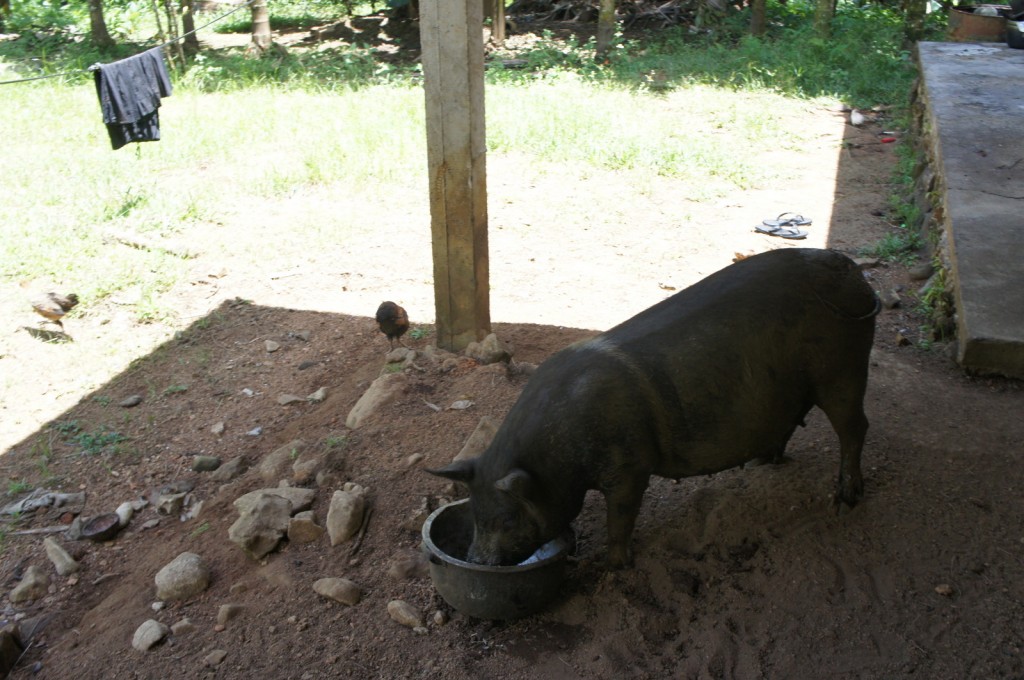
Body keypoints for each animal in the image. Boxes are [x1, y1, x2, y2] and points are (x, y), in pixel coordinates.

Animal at [430, 248, 881, 568]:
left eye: (507, 519)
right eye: (476, 515)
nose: (477, 561)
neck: (556, 456)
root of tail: (857, 275)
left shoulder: (629, 465)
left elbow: (621, 516)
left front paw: (613, 567)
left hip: (842, 369)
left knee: (856, 427)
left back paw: (846, 498)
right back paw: (760, 464)